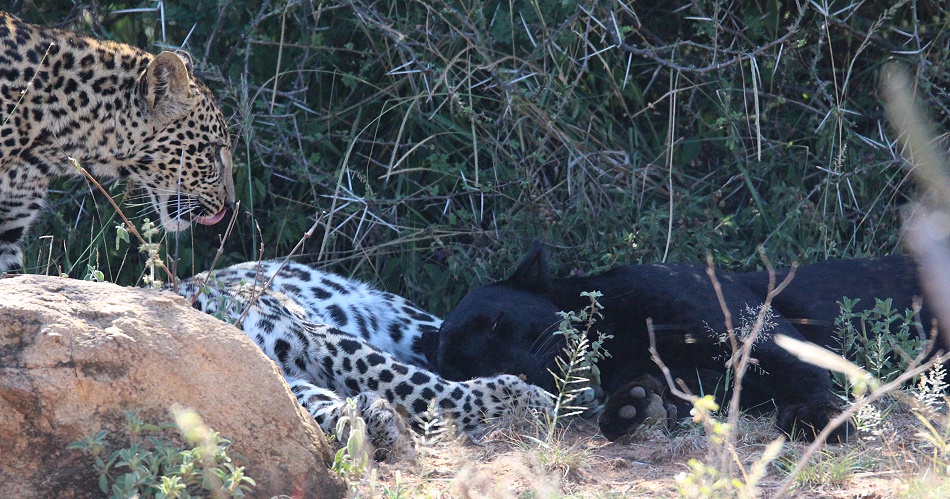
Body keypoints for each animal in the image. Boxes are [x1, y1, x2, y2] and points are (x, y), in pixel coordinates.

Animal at [175, 260, 554, 458]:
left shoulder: (317, 338)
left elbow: (411, 384)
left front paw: (522, 396)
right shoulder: (282, 383)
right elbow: (321, 413)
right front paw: (374, 419)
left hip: (408, 323)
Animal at [425, 241, 936, 443]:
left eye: (497, 323)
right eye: (464, 373)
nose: (516, 374)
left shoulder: (756, 329)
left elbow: (802, 370)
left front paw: (820, 418)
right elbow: (677, 388)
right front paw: (631, 407)